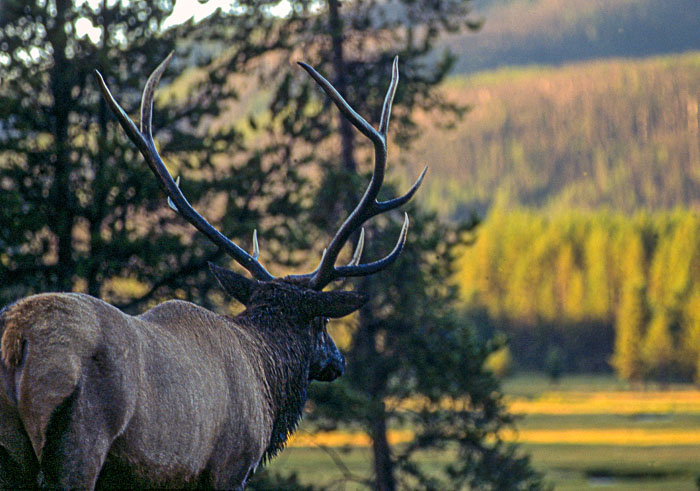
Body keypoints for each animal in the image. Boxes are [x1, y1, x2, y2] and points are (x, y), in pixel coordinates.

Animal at [0, 52, 426, 490]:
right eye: (322, 321)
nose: (339, 362)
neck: (267, 382)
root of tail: (18, 340)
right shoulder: (231, 464)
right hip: (78, 439)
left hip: (12, 455)